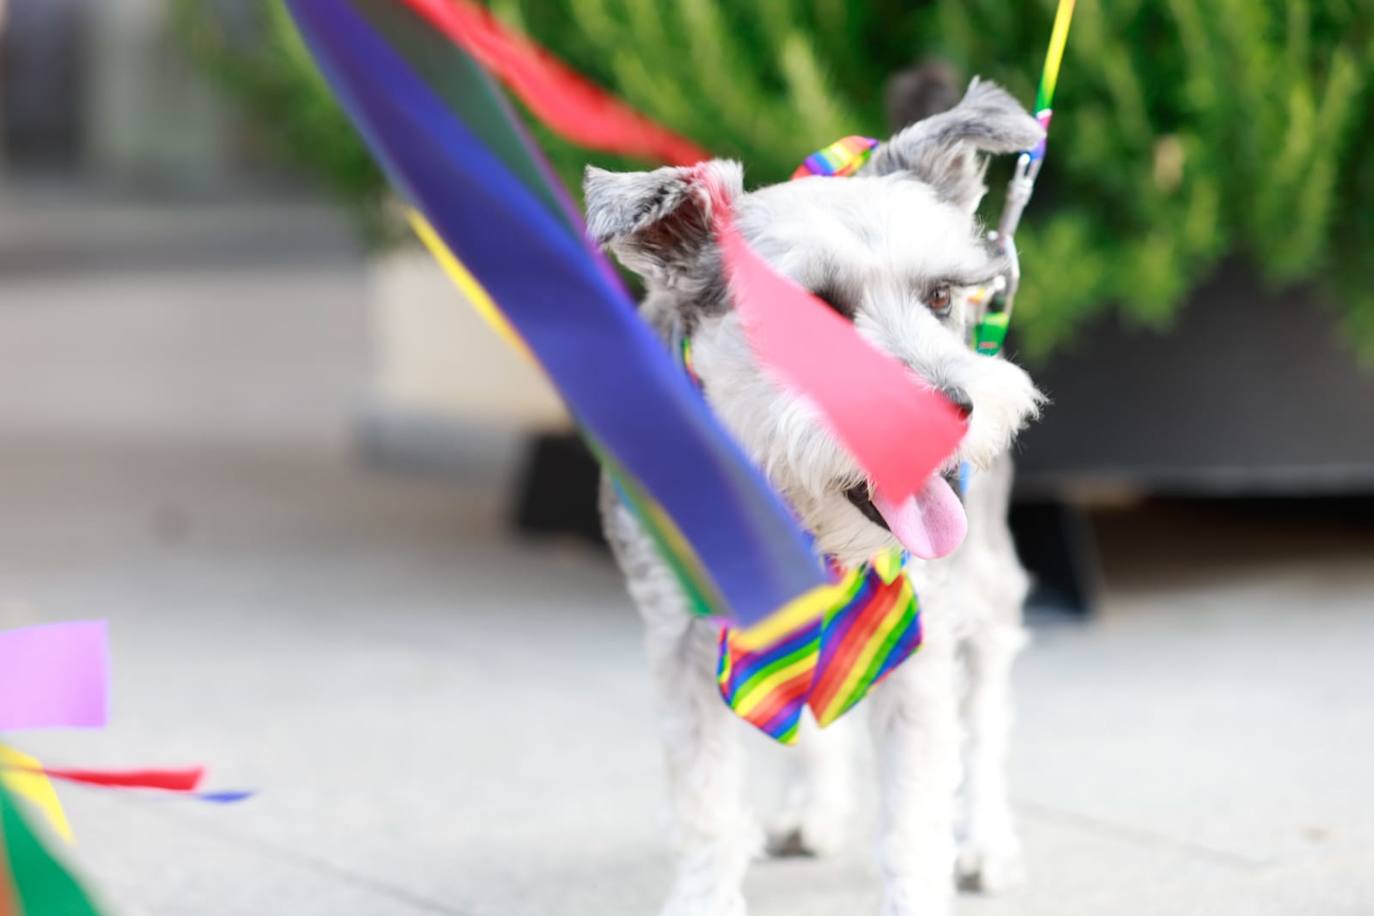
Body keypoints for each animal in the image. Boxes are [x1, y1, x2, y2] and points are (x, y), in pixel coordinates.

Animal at [585, 78, 1044, 916]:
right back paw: (813, 812)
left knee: (987, 712)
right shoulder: (681, 644)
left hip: (988, 586)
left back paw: (987, 842)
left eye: (939, 296)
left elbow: (915, 819)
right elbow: (705, 807)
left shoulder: (921, 649)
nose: (949, 413)